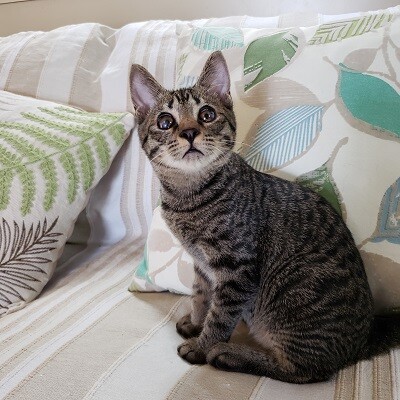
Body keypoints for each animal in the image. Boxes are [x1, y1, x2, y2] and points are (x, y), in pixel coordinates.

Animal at [130, 51, 399, 383]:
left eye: (206, 114)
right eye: (165, 122)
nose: (190, 132)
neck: (189, 197)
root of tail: (364, 338)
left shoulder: (237, 269)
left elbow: (220, 316)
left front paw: (203, 345)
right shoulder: (202, 264)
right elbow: (200, 295)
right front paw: (195, 322)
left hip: (291, 292)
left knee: (305, 370)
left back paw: (230, 355)